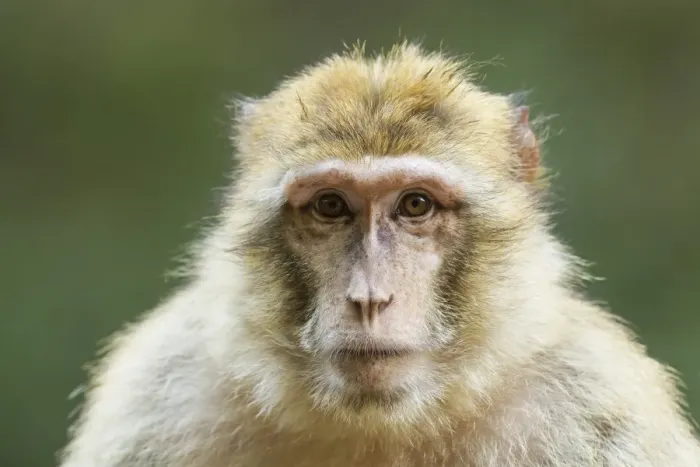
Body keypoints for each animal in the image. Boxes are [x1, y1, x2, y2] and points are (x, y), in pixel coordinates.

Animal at [59, 42, 700, 467]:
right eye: (330, 206)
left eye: (415, 205)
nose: (369, 299)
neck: (380, 426)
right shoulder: (158, 397)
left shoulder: (594, 405)